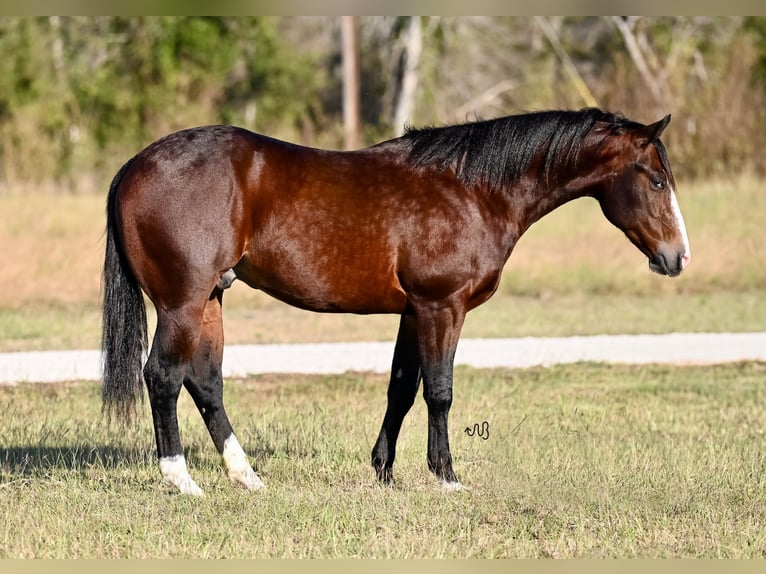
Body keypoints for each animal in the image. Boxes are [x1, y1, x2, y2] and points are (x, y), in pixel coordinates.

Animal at [101, 108, 691, 495]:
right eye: (657, 180)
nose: (678, 257)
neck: (472, 189)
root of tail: (134, 165)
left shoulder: (414, 311)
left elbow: (402, 389)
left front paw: (383, 470)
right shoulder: (441, 306)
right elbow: (439, 392)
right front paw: (446, 476)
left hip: (210, 299)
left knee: (205, 382)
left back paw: (246, 475)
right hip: (182, 303)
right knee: (163, 376)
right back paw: (181, 479)